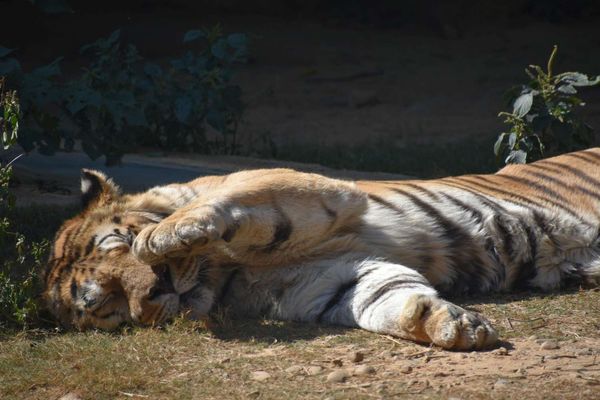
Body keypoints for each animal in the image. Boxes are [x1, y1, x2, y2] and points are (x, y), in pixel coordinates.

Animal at [43, 148, 600, 350]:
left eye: (119, 242)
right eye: (109, 304)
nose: (156, 291)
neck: (221, 275)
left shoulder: (319, 189)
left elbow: (228, 199)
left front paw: (163, 236)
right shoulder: (327, 280)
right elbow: (384, 298)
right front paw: (447, 325)